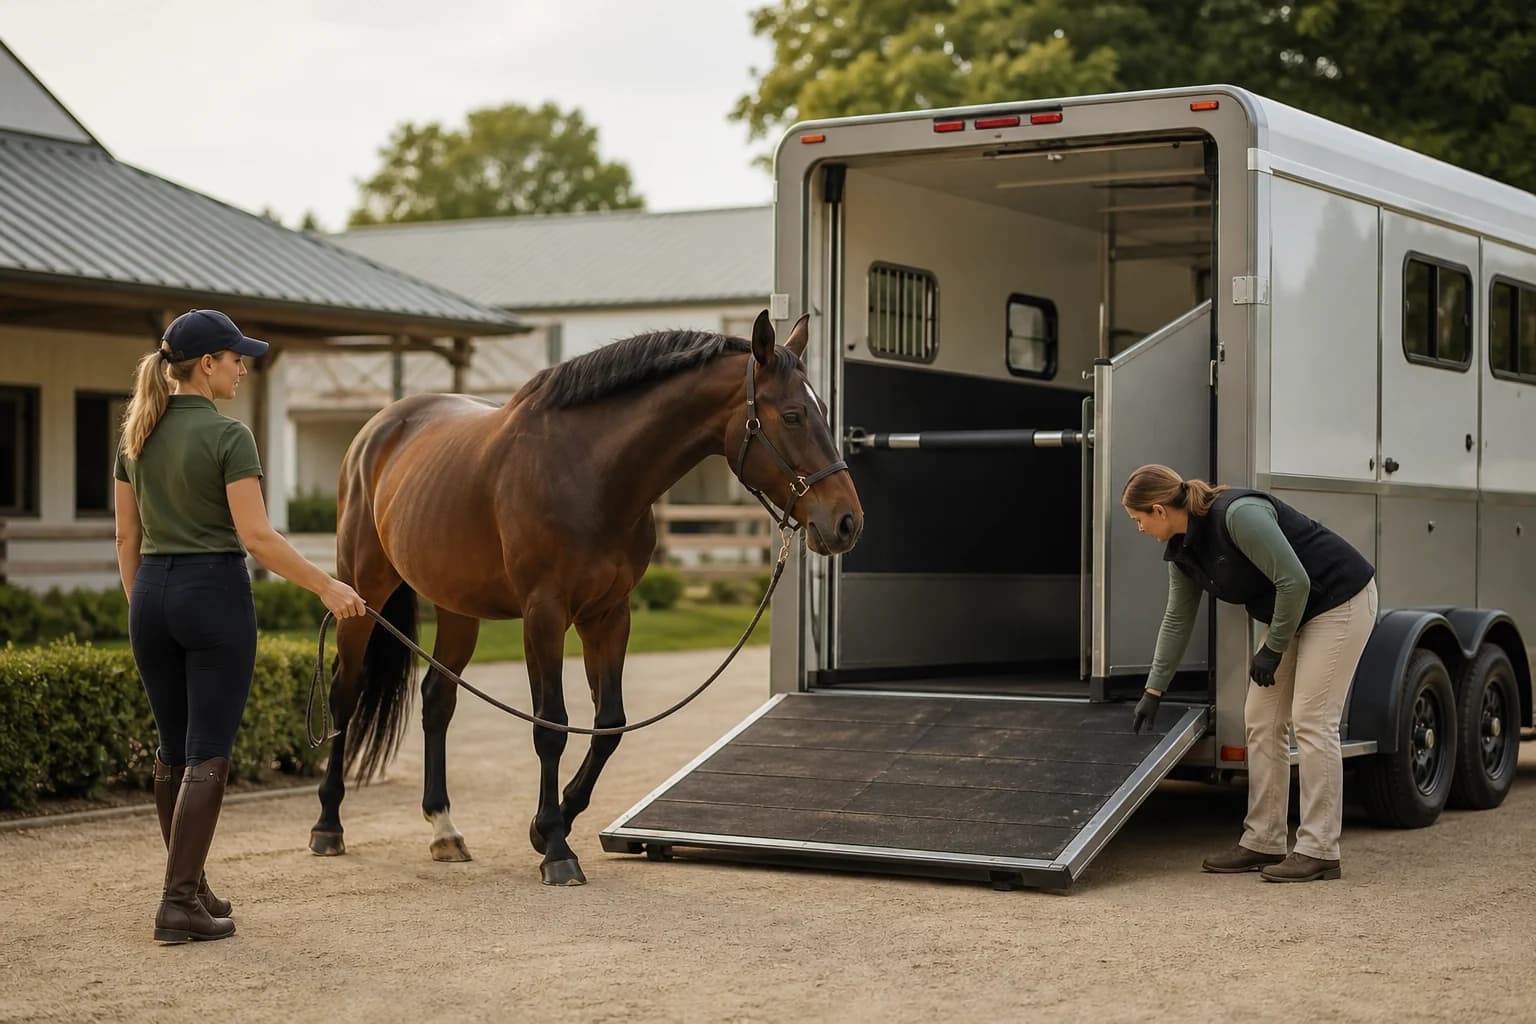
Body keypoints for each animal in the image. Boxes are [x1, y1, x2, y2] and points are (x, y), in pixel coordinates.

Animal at [307, 310, 864, 885]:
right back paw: (328, 824)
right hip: (361, 594)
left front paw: (551, 823)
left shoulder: (608, 615)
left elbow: (609, 724)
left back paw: (444, 830)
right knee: (345, 694)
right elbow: (550, 726)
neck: (588, 472)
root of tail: (376, 429)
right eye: (794, 415)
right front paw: (556, 847)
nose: (847, 522)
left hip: (457, 608)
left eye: (823, 411)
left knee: (438, 700)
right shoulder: (544, 614)